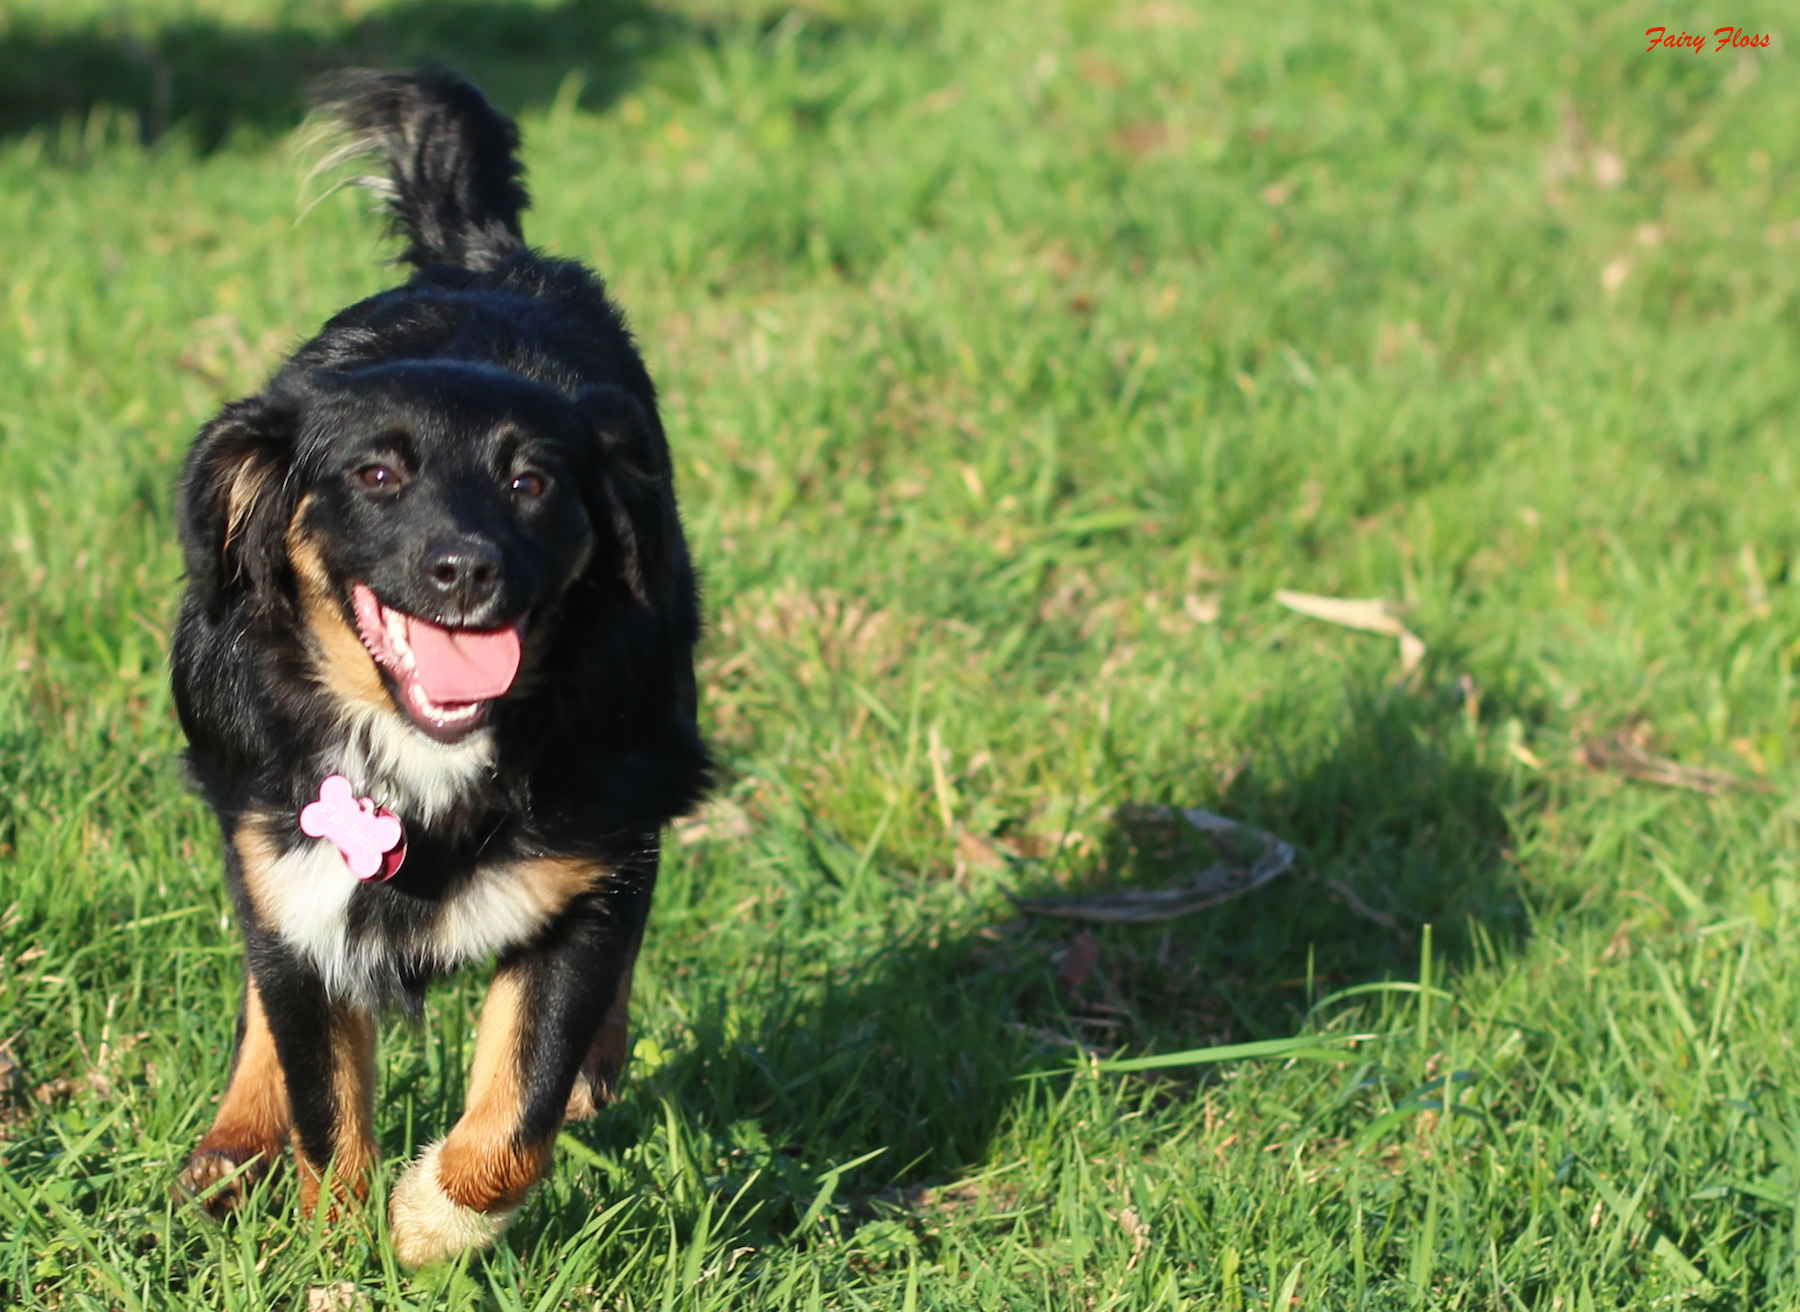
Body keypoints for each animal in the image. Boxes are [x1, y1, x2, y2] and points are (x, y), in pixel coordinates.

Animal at [167, 69, 702, 1259]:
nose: (467, 570)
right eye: (376, 474)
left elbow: (515, 1116)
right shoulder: (293, 873)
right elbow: (324, 1107)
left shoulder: (587, 868)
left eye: (534, 482)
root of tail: (484, 258)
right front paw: (336, 1254)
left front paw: (429, 1224)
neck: (421, 752)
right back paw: (234, 1137)